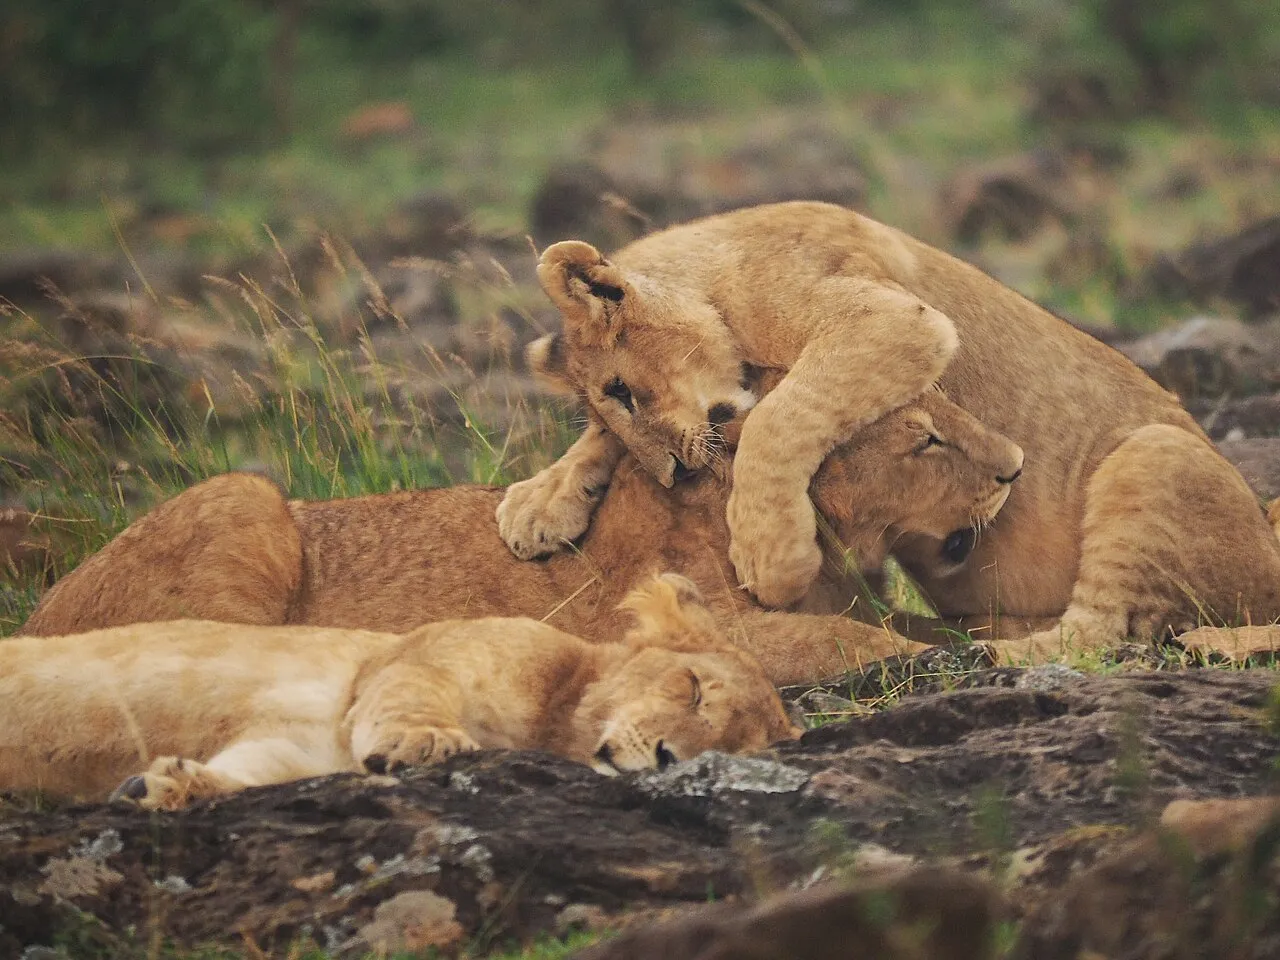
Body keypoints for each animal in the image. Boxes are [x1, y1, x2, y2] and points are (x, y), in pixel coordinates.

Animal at [0, 574, 801, 808]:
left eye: (736, 748)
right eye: (692, 688)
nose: (669, 760)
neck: (552, 723)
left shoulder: (302, 750)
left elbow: (256, 771)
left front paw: (166, 786)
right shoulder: (415, 657)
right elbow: (412, 698)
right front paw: (427, 745)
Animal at [18, 387, 1029, 685]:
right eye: (927, 438)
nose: (1017, 468)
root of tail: (29, 621)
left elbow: (905, 624)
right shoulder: (669, 626)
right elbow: (842, 639)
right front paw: (961, 663)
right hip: (245, 496)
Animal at [503, 200, 1280, 661]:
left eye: (622, 391)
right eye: (605, 405)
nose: (673, 473)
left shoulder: (894, 320)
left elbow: (781, 418)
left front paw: (771, 556)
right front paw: (538, 505)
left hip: (1156, 452)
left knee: (1101, 635)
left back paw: (985, 654)